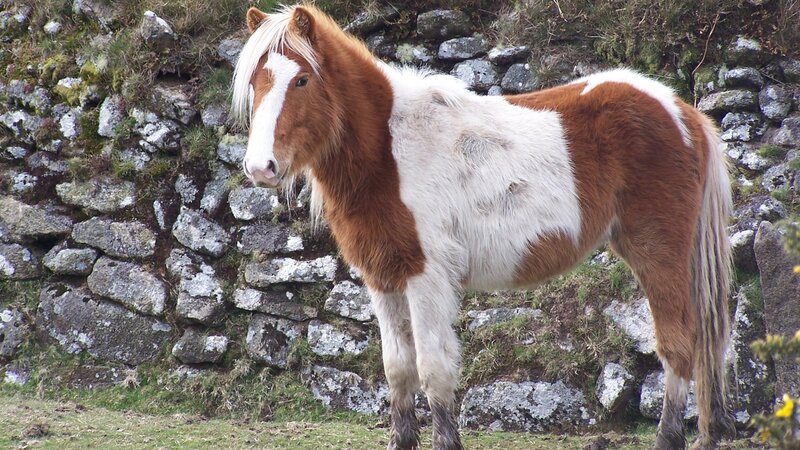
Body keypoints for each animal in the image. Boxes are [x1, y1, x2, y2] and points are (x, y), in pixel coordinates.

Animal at [231, 5, 735, 450]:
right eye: (256, 82)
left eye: (301, 79)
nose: (260, 168)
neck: (388, 154)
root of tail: (682, 112)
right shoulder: (382, 278)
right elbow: (398, 369)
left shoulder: (426, 277)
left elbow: (433, 369)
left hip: (658, 253)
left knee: (679, 345)